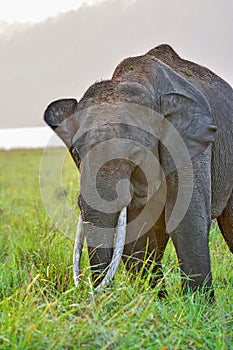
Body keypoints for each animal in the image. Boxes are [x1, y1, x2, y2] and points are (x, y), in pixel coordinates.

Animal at [44, 43, 233, 298]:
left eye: (135, 152)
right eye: (75, 152)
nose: (94, 295)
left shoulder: (189, 146)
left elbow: (185, 220)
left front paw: (199, 304)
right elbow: (138, 234)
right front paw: (155, 301)